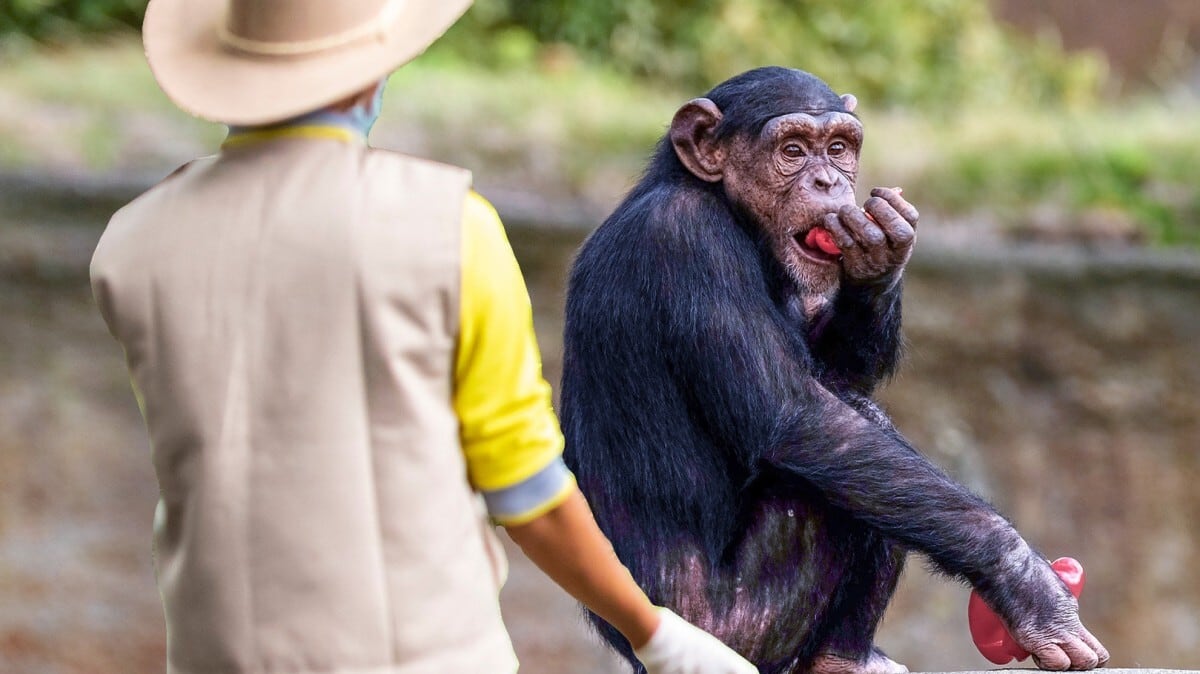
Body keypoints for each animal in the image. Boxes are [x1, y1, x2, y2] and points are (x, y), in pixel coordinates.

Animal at [556, 66, 1108, 671]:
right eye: (793, 151)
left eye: (839, 149)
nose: (827, 182)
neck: (727, 209)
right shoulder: (687, 244)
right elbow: (796, 416)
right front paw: (1024, 580)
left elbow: (836, 372)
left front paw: (880, 254)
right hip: (738, 629)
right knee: (837, 469)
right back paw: (842, 657)